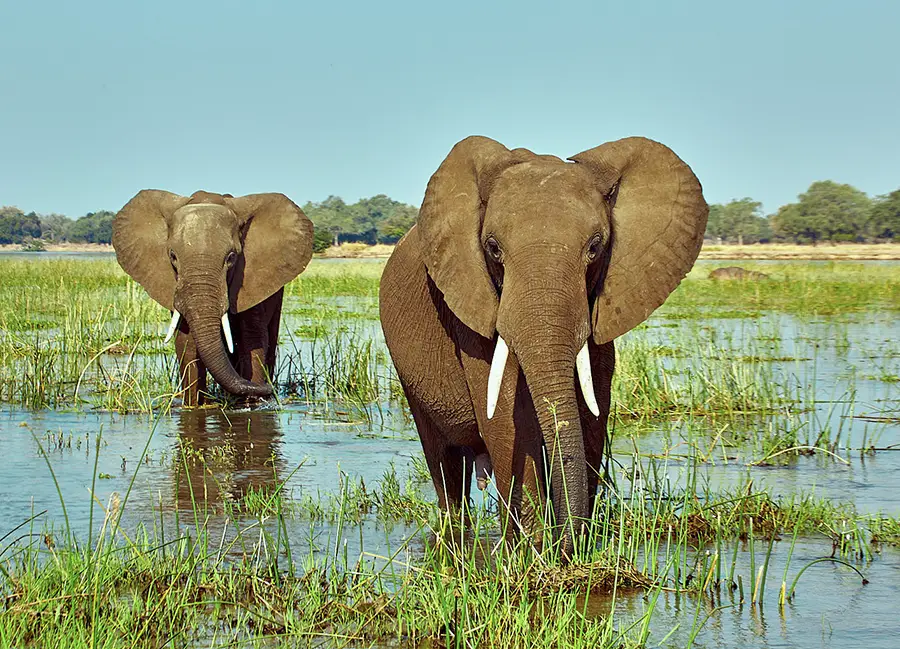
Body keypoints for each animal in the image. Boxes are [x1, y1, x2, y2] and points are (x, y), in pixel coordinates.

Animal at [112, 190, 312, 408]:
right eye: (172, 256)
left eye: (231, 257)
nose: (268, 388)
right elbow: (186, 341)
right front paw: (193, 406)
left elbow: (252, 339)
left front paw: (253, 405)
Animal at [380, 135, 712, 556]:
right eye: (493, 248)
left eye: (595, 246)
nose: (567, 542)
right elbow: (505, 413)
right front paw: (533, 550)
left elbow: (591, 407)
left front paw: (571, 547)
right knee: (444, 462)